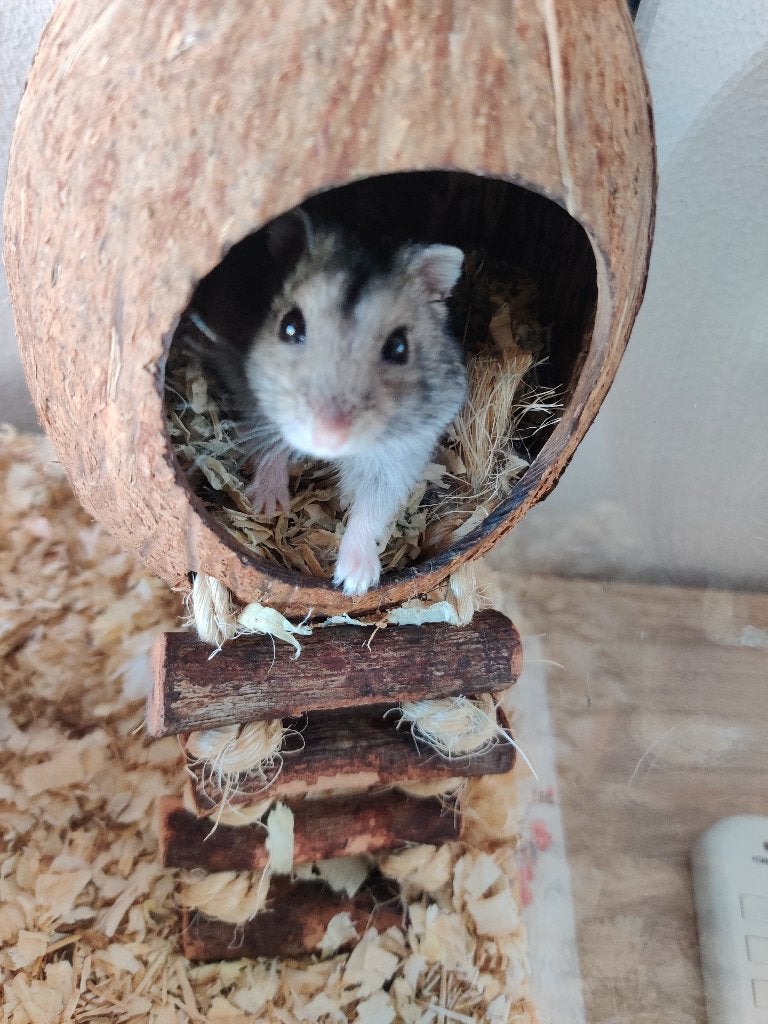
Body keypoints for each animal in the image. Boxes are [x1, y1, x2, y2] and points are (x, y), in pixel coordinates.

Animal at [238, 209, 467, 596]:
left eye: (399, 346)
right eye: (289, 326)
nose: (328, 438)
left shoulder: (402, 452)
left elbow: (371, 509)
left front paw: (356, 582)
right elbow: (270, 448)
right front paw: (267, 506)